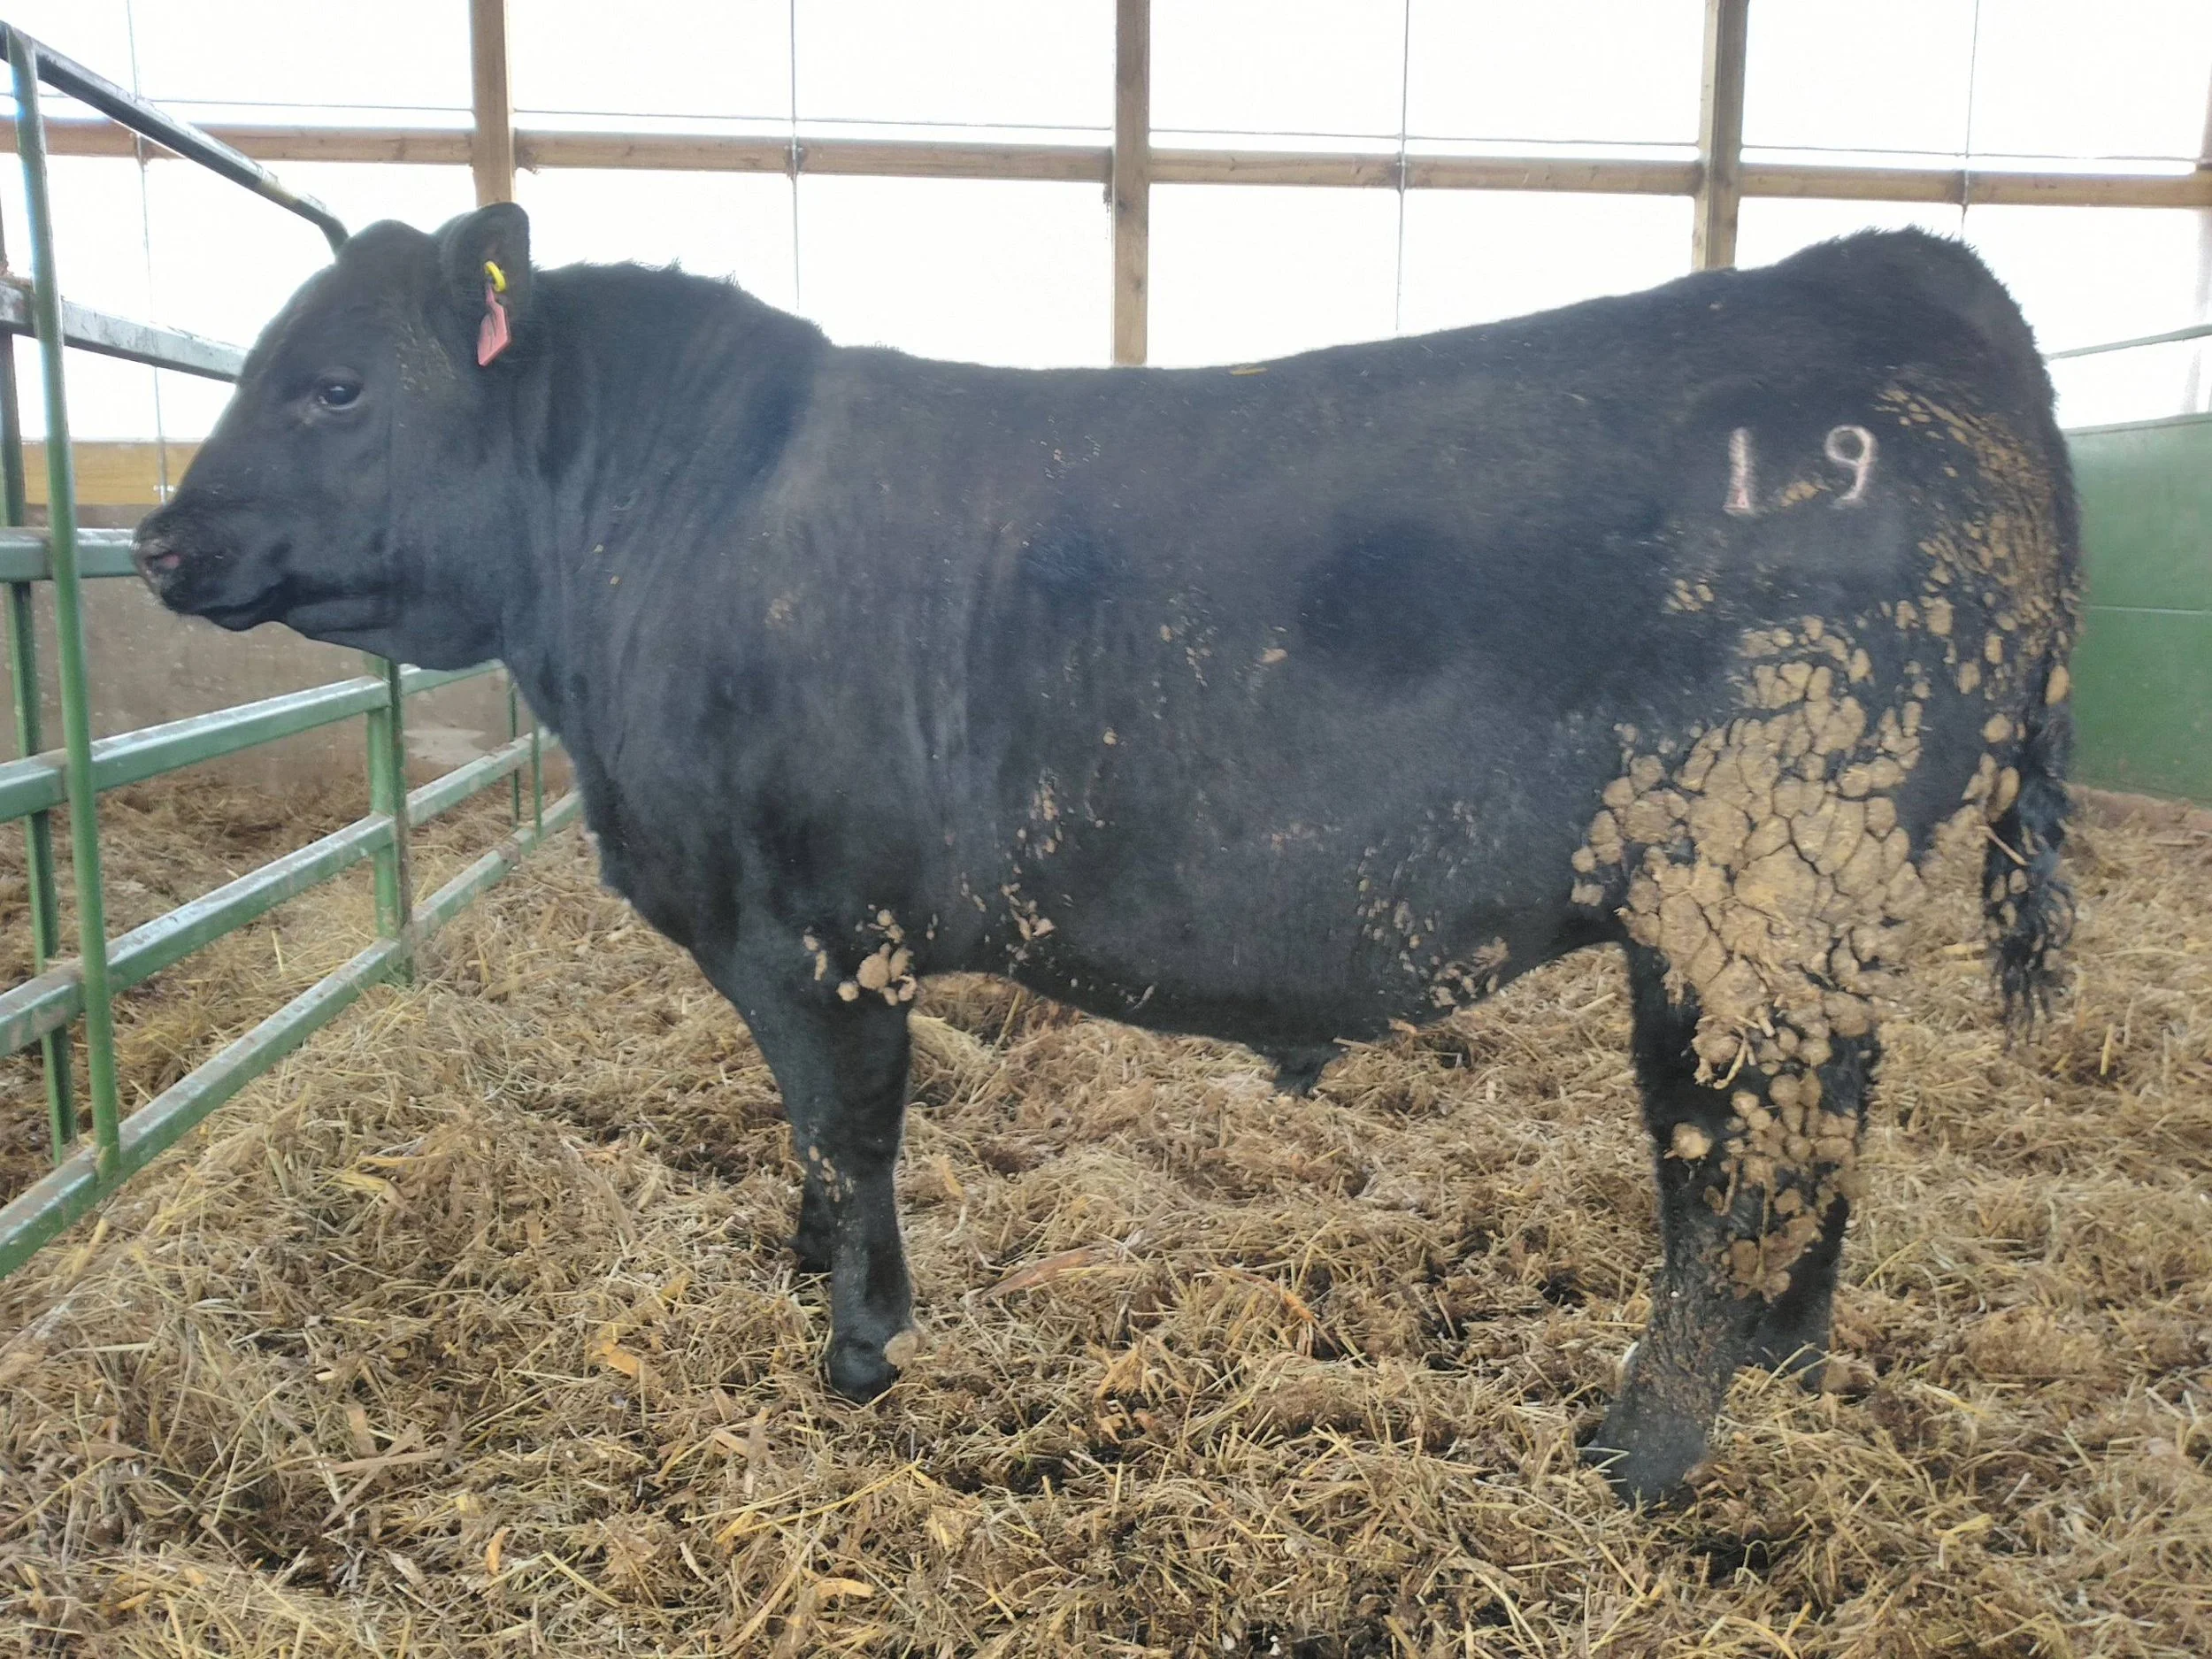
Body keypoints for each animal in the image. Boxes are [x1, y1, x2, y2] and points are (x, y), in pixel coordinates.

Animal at [132, 208, 2078, 1502]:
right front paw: (816, 1287)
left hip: (1760, 878)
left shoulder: (814, 924)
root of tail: (1896, 269)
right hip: (1802, 912)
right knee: (1813, 1137)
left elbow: (846, 1128)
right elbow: (814, 1142)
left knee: (1739, 1157)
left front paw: (857, 1353)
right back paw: (1787, 1378)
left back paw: (1642, 1449)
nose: (152, 538)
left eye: (333, 385)